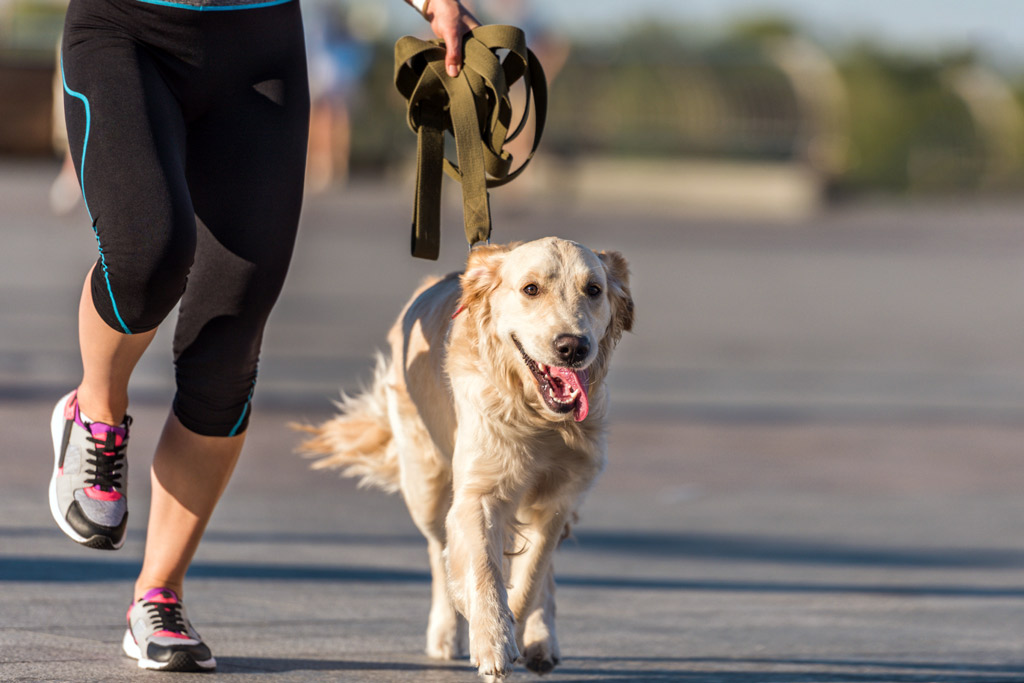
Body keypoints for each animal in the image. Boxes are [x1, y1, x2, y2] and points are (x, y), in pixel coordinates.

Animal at [294, 237, 630, 679]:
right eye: (530, 289)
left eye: (593, 290)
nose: (573, 346)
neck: (537, 417)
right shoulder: (478, 494)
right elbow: (482, 568)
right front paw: (490, 638)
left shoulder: (557, 501)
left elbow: (531, 577)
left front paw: (515, 630)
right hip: (426, 488)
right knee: (439, 553)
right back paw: (445, 630)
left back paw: (541, 639)